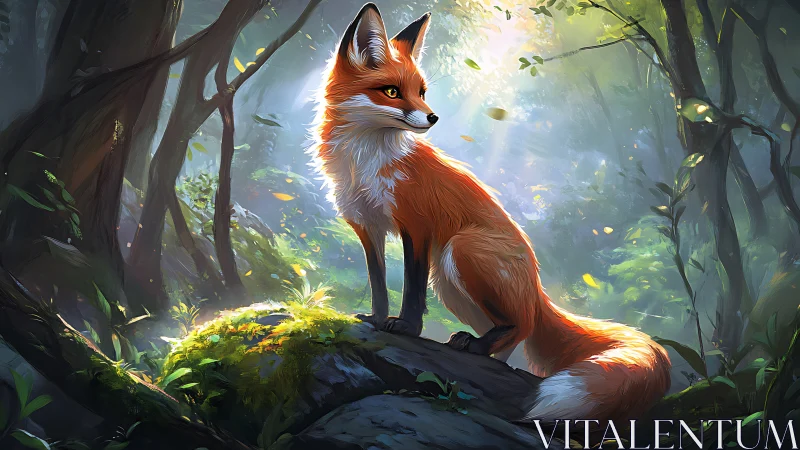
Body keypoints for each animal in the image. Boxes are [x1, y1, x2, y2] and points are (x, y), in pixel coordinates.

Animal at [308, 3, 671, 421]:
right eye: (392, 92)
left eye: (421, 92)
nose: (432, 117)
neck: (365, 161)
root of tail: (537, 289)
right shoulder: (367, 226)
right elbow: (379, 282)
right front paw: (377, 320)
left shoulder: (417, 225)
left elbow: (412, 290)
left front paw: (406, 328)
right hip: (450, 281)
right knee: (515, 338)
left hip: (460, 251)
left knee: (521, 326)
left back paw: (477, 346)